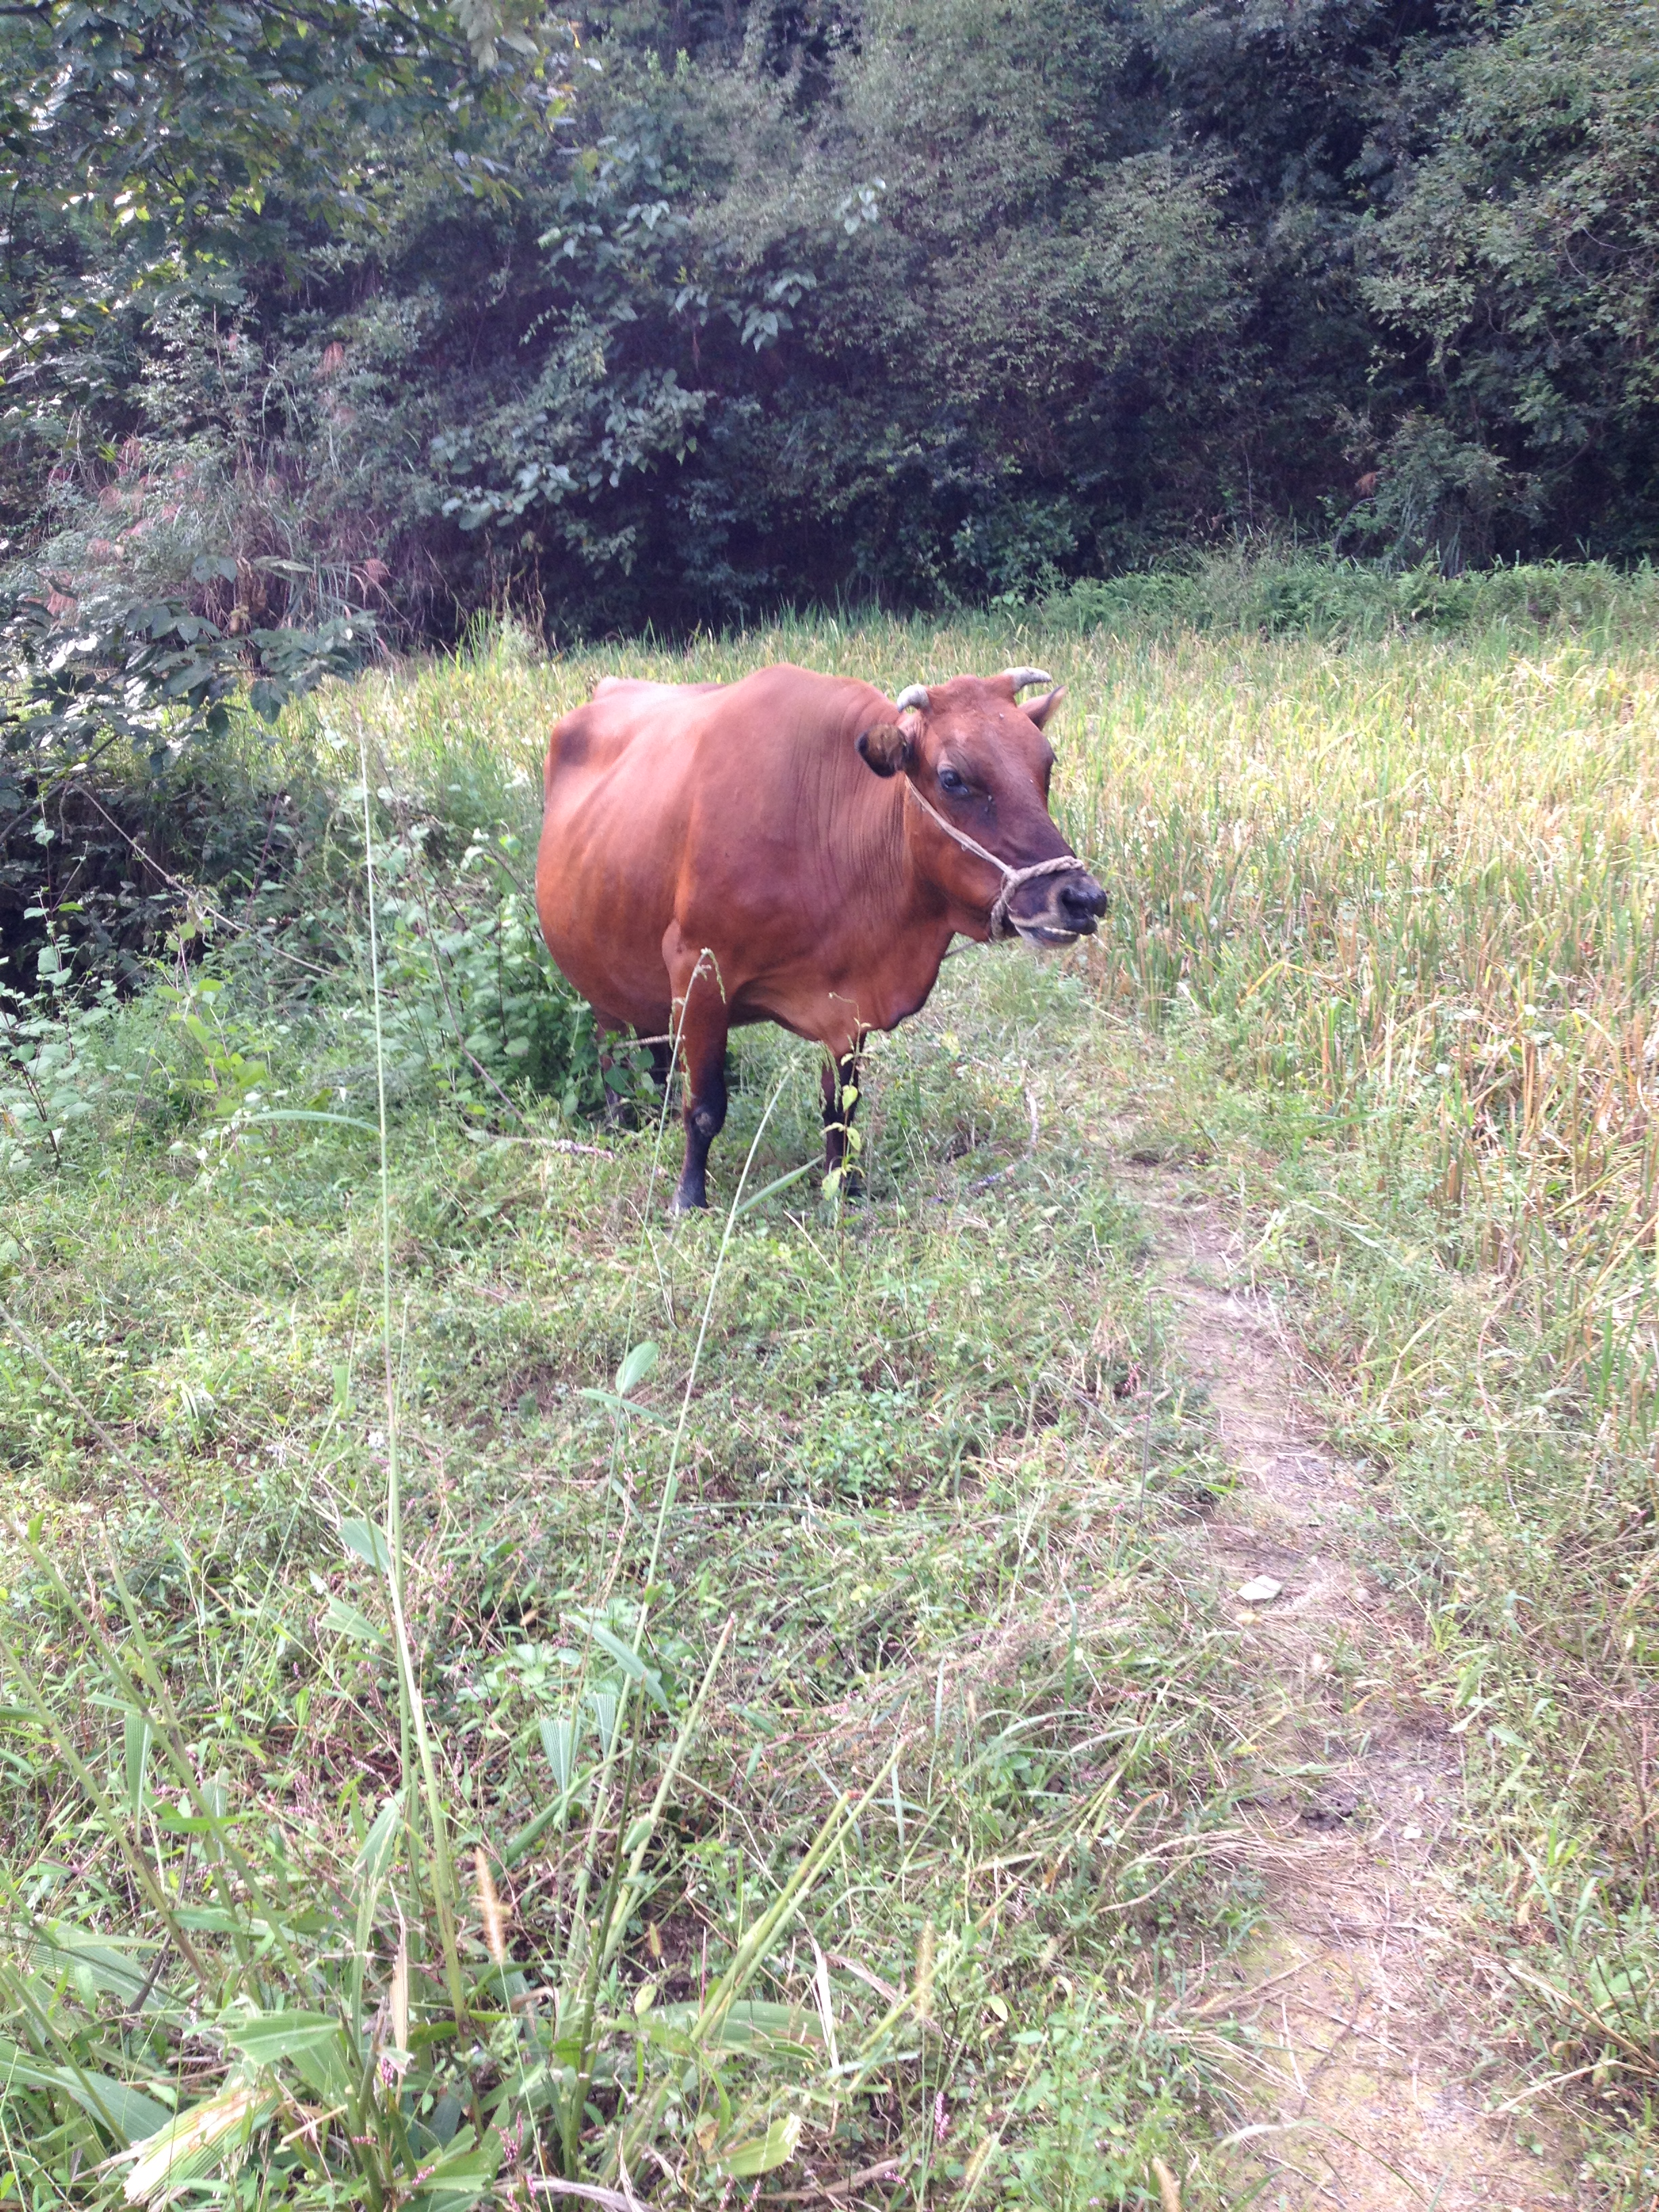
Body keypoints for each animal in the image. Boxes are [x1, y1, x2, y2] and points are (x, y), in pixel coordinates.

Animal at [535, 659, 1106, 1212]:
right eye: (952, 777)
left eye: (1046, 764)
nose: (1082, 899)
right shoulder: (697, 965)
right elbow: (704, 1107)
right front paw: (688, 1198)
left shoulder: (848, 1007)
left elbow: (841, 1109)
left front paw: (843, 1187)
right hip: (598, 979)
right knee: (611, 1052)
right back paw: (623, 1122)